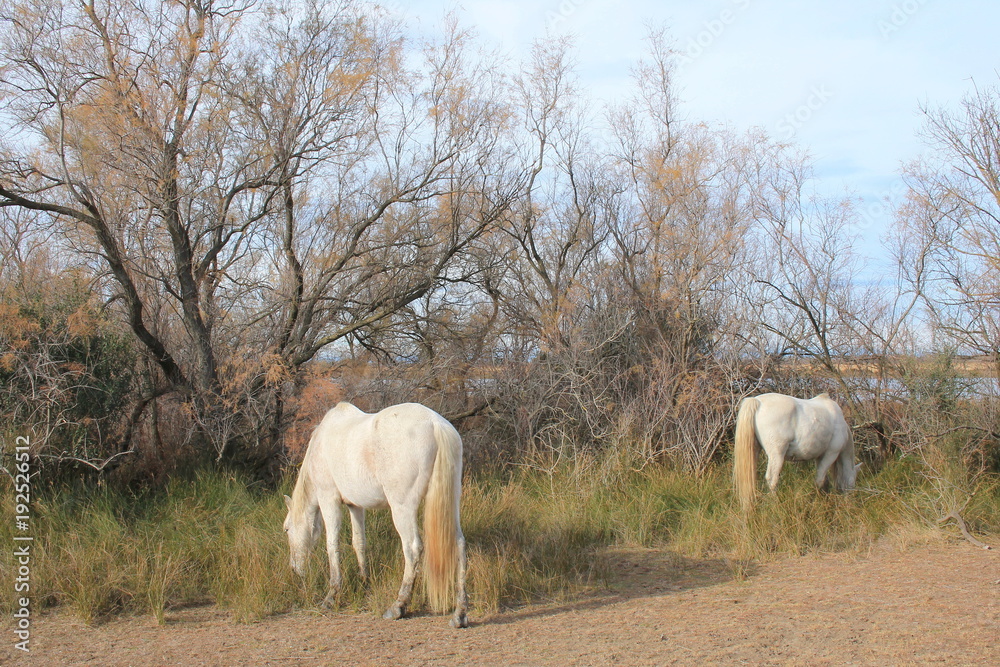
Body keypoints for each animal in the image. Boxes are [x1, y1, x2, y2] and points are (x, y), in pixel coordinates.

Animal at [283, 402, 468, 628]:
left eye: (287, 529)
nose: (295, 570)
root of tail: (435, 424)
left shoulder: (328, 499)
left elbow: (332, 545)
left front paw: (331, 595)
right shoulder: (355, 506)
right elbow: (359, 542)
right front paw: (364, 581)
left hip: (402, 507)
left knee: (412, 548)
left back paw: (398, 606)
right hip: (450, 502)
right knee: (459, 545)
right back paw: (459, 614)